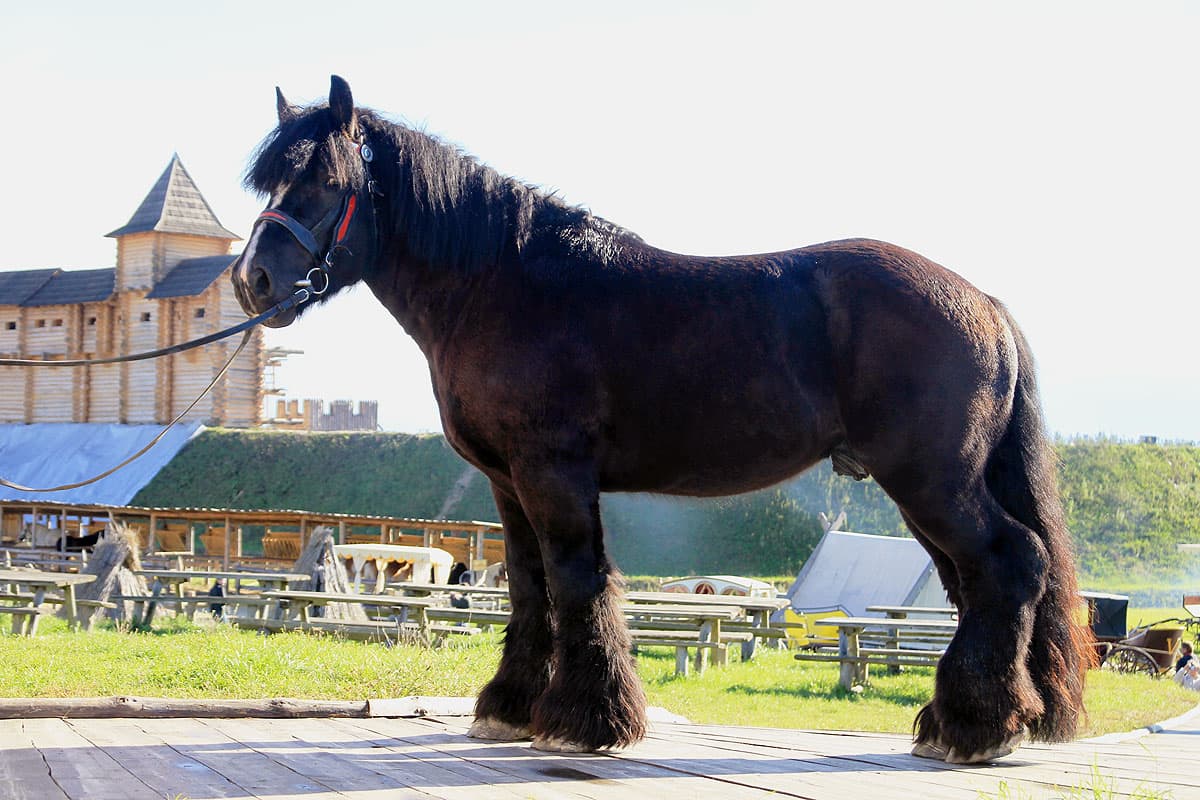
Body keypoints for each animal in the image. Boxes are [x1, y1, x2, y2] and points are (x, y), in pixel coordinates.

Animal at [229, 76, 1094, 762]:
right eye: (272, 184)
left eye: (324, 178)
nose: (253, 279)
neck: (505, 284)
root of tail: (984, 303)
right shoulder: (508, 483)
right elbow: (531, 587)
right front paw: (510, 707)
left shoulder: (553, 473)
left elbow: (578, 581)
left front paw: (585, 720)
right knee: (980, 580)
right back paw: (970, 720)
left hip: (930, 482)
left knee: (1010, 563)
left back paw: (975, 728)